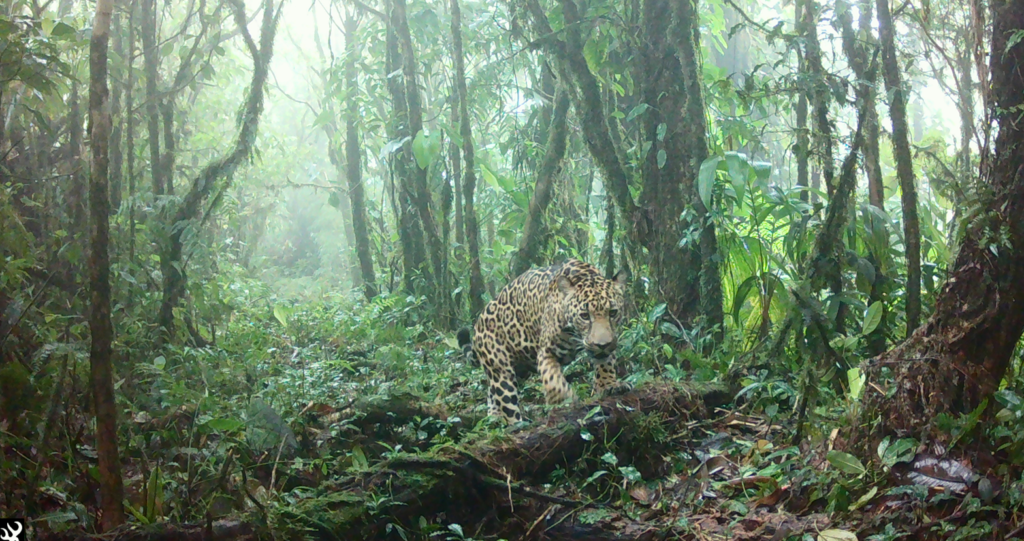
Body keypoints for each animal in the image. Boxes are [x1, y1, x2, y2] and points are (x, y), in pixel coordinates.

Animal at [456, 259, 628, 424]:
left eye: (613, 313)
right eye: (585, 316)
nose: (602, 345)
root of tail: (479, 321)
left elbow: (605, 364)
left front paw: (609, 385)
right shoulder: (546, 351)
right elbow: (552, 378)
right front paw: (559, 398)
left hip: (519, 369)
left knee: (492, 392)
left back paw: (494, 416)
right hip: (500, 368)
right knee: (506, 401)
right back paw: (517, 424)